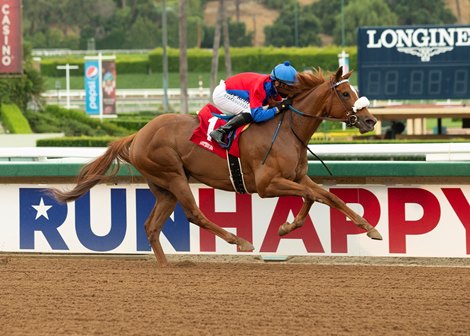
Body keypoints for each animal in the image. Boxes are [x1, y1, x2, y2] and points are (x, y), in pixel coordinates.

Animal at [51, 66, 382, 266]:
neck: (288, 128)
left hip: (163, 187)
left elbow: (327, 196)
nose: (370, 121)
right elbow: (315, 197)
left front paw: (370, 230)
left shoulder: (298, 176)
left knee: (151, 226)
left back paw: (165, 266)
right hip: (173, 176)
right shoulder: (267, 185)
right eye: (345, 93)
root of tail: (138, 133)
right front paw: (286, 227)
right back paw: (240, 241)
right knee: (193, 214)